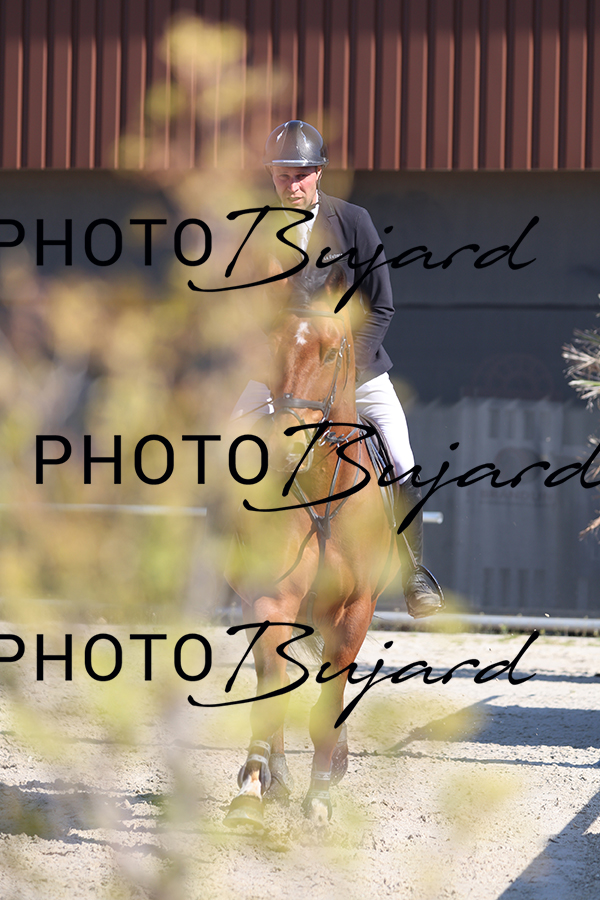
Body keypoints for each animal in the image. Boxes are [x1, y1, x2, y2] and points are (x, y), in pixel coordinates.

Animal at [223, 264, 402, 828]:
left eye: (329, 353)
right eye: (270, 348)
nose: (284, 448)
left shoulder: (355, 609)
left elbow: (329, 700)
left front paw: (320, 795)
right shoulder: (272, 599)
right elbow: (271, 691)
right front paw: (251, 790)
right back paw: (273, 777)